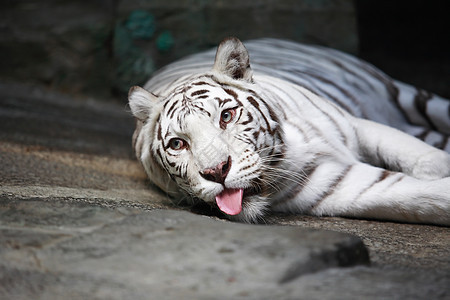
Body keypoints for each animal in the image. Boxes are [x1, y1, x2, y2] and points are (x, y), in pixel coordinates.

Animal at [127, 37, 450, 225]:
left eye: (226, 116)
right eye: (177, 144)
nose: (217, 171)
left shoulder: (359, 127)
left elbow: (424, 158)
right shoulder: (339, 184)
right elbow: (421, 197)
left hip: (409, 95)